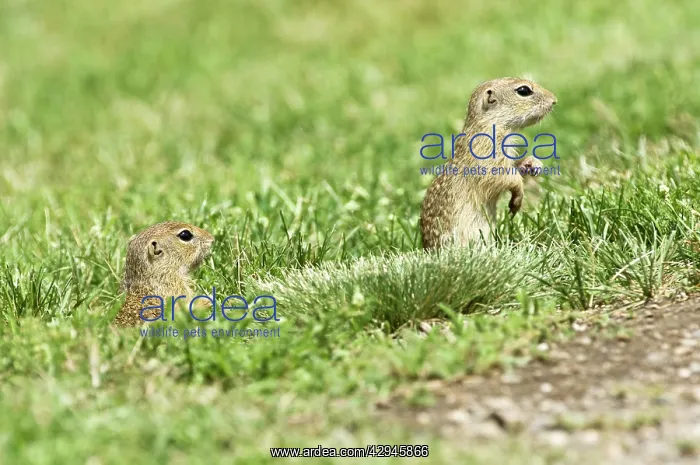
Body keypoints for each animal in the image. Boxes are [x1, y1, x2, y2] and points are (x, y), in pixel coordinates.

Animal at [420, 77, 557, 249]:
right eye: (524, 90)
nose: (554, 100)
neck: (489, 124)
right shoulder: (487, 153)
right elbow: (503, 176)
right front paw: (518, 197)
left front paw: (533, 163)